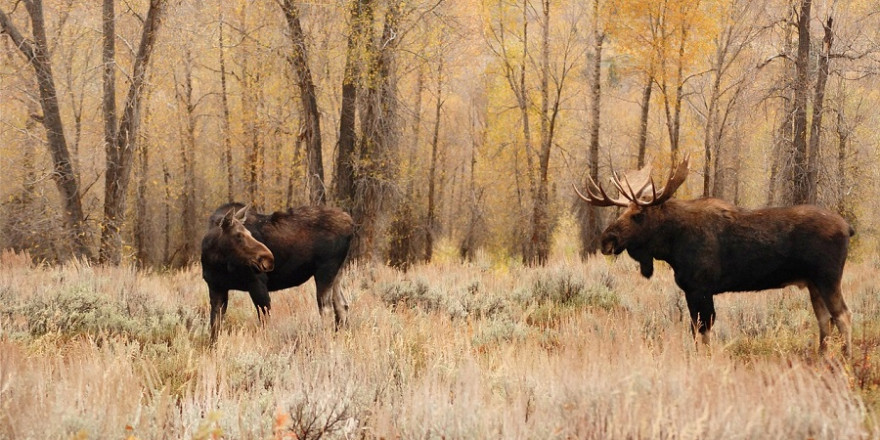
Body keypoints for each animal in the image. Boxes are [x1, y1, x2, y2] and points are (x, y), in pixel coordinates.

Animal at [201, 201, 352, 342]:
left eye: (249, 233)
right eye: (239, 236)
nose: (268, 258)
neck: (217, 263)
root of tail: (351, 224)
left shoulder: (257, 283)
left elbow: (265, 321)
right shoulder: (216, 288)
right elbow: (215, 327)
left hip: (325, 270)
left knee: (326, 309)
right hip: (337, 272)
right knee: (342, 305)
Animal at [576, 156, 856, 356]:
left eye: (638, 215)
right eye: (622, 212)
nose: (606, 239)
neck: (671, 245)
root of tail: (848, 228)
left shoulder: (700, 287)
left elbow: (704, 330)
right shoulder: (691, 290)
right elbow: (695, 330)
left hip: (828, 278)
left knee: (843, 315)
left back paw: (845, 359)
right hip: (813, 283)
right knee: (825, 319)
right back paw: (822, 356)